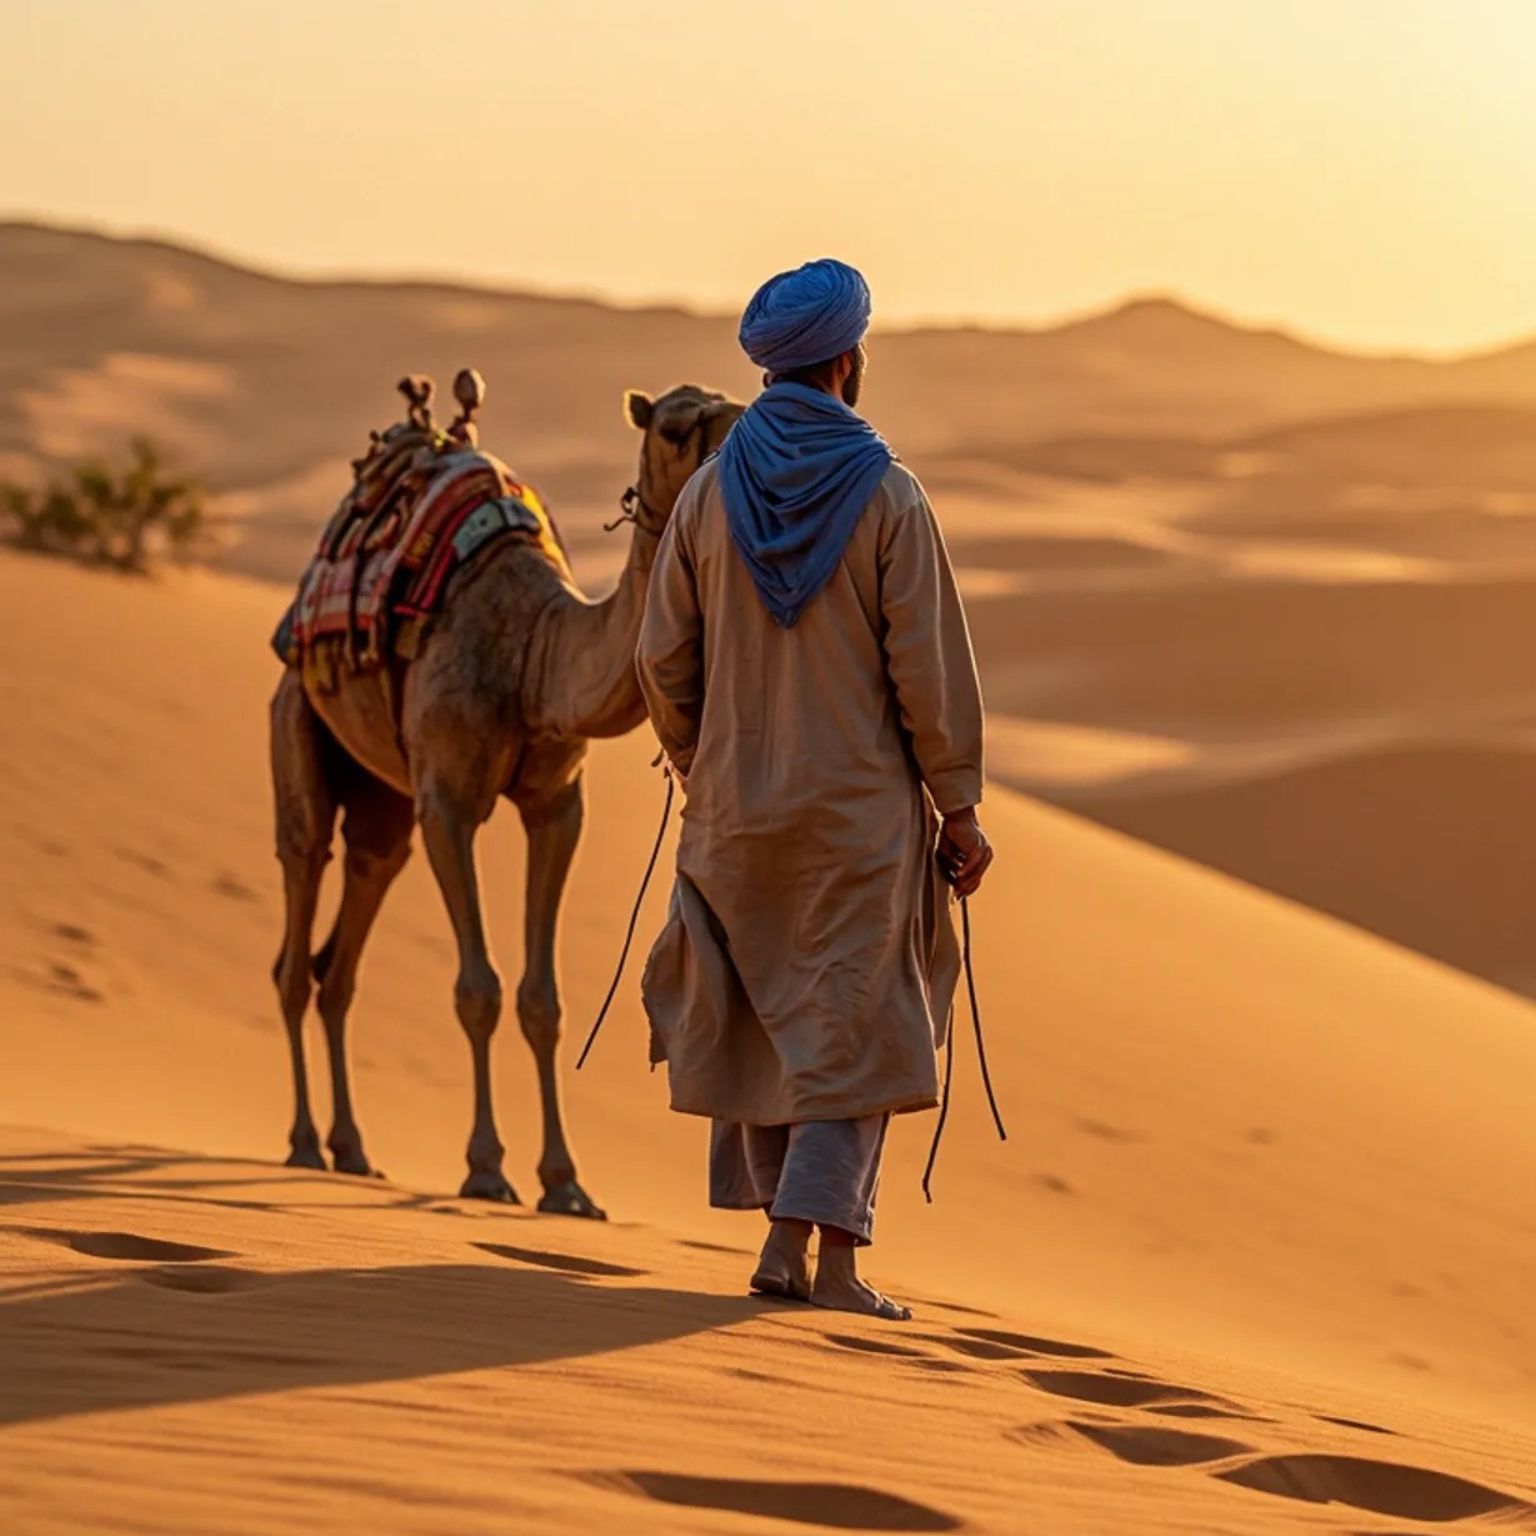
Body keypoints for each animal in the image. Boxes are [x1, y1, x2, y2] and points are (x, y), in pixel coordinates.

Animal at [270, 380, 743, 1210]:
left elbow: (541, 1000)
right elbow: (480, 989)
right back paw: (302, 1144)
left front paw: (566, 1184)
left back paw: (352, 1150)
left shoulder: (557, 803)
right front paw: (487, 1168)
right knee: (300, 917)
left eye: (744, 411)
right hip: (298, 717)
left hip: (382, 802)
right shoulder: (448, 801)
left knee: (351, 929)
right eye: (675, 425)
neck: (535, 654)